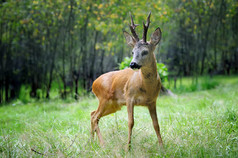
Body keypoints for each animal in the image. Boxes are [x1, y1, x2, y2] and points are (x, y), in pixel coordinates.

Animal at [90, 12, 163, 149]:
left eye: (145, 51)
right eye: (133, 51)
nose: (133, 64)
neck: (146, 87)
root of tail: (93, 84)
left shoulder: (152, 101)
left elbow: (156, 124)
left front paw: (162, 147)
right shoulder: (129, 97)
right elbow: (131, 122)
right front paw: (127, 148)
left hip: (113, 105)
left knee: (92, 114)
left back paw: (91, 142)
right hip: (104, 98)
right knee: (95, 117)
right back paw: (102, 144)